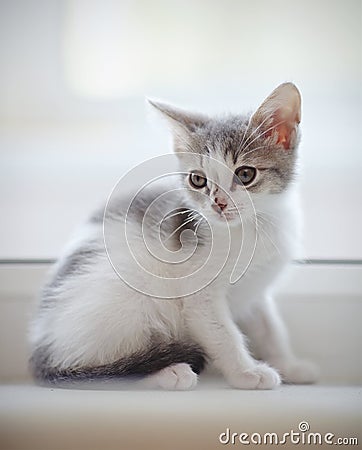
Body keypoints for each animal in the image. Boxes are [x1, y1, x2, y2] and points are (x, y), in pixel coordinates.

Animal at [29, 83, 316, 390]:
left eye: (246, 174)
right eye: (198, 180)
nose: (218, 203)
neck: (252, 227)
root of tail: (42, 351)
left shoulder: (256, 289)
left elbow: (269, 328)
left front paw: (289, 365)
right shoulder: (199, 295)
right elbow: (223, 334)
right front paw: (247, 372)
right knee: (111, 371)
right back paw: (168, 372)